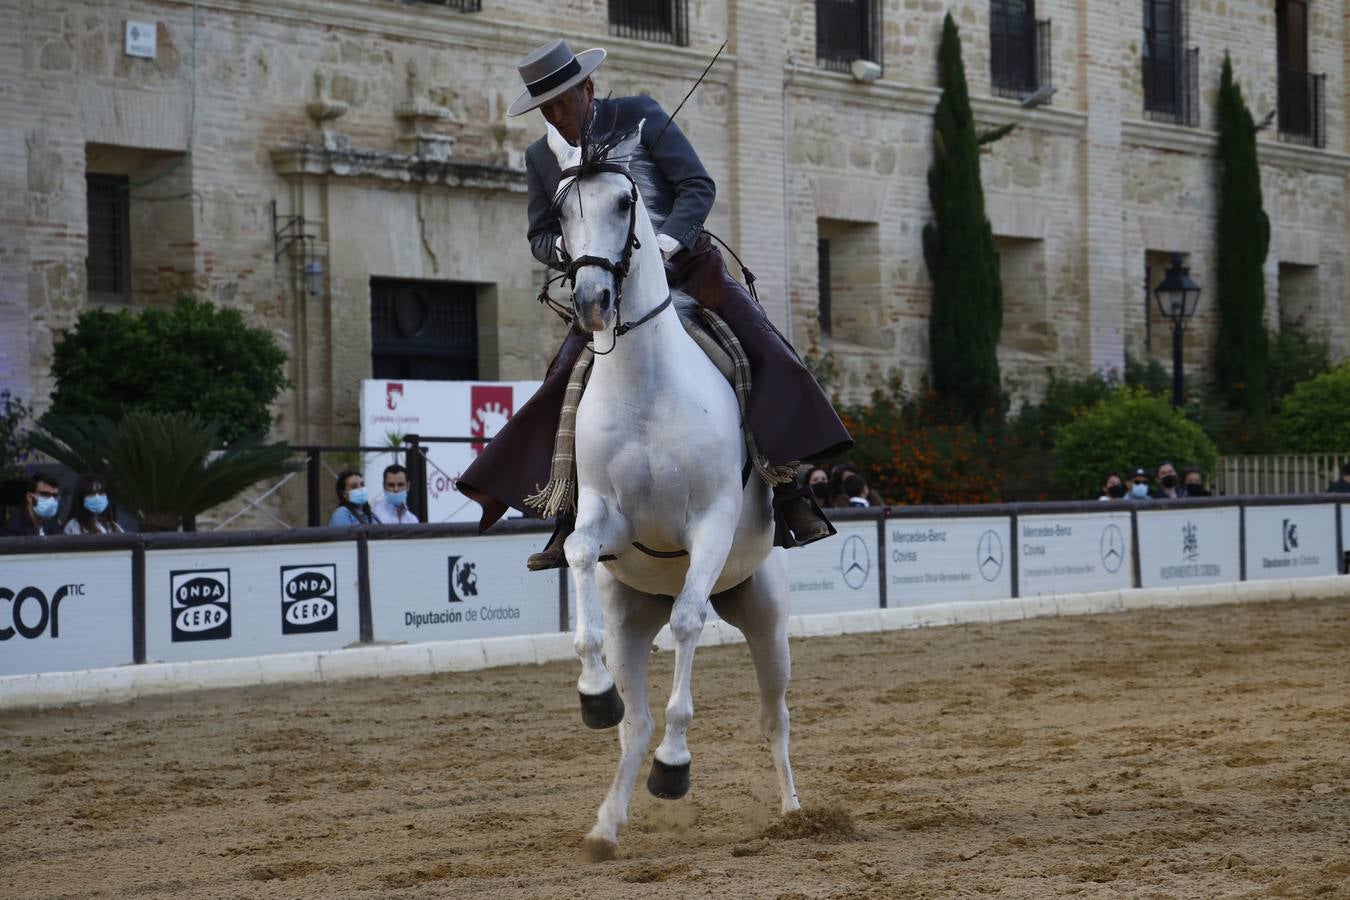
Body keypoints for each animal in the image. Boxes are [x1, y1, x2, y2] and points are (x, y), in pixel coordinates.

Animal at [545, 121, 799, 858]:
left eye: (626, 201)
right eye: (559, 213)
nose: (592, 301)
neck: (646, 386)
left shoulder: (709, 523)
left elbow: (690, 622)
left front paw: (677, 765)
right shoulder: (605, 515)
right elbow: (576, 552)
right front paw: (591, 690)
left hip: (767, 620)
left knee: (774, 717)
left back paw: (795, 811)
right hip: (632, 619)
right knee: (633, 726)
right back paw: (606, 825)